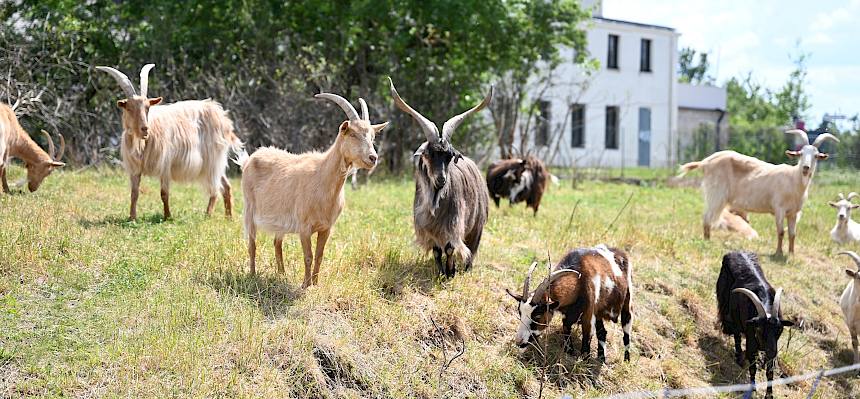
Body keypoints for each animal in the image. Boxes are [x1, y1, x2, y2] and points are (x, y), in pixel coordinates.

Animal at [232, 94, 386, 288]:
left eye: (372, 137)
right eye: (352, 133)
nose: (373, 158)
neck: (322, 178)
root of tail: (250, 160)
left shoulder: (326, 228)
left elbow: (319, 255)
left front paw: (316, 283)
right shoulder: (304, 227)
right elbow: (308, 256)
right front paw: (305, 285)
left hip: (279, 220)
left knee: (277, 243)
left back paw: (281, 275)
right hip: (249, 209)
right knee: (252, 244)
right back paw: (252, 274)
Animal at [390, 77, 490, 278]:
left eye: (449, 156)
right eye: (429, 154)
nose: (441, 179)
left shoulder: (454, 223)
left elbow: (451, 247)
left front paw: (450, 272)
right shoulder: (429, 228)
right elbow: (437, 250)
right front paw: (440, 272)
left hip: (477, 224)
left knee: (471, 246)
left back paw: (467, 267)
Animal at [504, 245, 632, 364]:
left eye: (537, 316)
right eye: (520, 313)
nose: (519, 342)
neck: (579, 281)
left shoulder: (588, 315)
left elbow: (586, 340)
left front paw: (584, 362)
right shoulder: (567, 313)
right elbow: (566, 329)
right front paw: (569, 351)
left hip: (628, 301)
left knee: (626, 329)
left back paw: (626, 360)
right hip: (599, 311)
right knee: (602, 332)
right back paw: (601, 359)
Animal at [680, 130, 840, 256]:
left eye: (816, 156)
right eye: (800, 154)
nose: (806, 168)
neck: (794, 179)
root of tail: (706, 162)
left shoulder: (793, 213)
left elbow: (792, 234)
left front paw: (791, 253)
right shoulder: (779, 209)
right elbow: (780, 232)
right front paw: (778, 253)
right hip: (716, 195)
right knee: (707, 218)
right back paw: (707, 242)